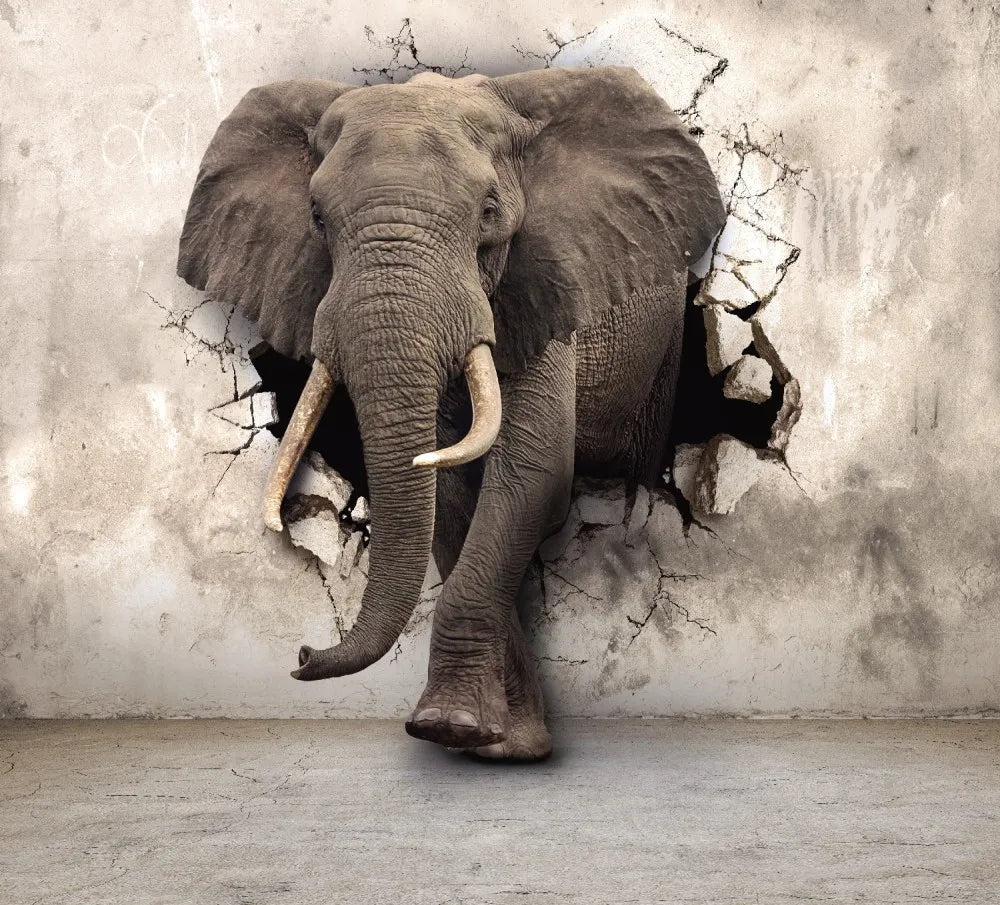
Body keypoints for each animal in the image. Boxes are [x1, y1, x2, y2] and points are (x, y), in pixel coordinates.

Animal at [177, 67, 725, 760]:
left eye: (489, 213)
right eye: (317, 218)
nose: (302, 654)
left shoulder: (541, 286)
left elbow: (530, 478)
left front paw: (462, 732)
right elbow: (452, 496)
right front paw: (492, 741)